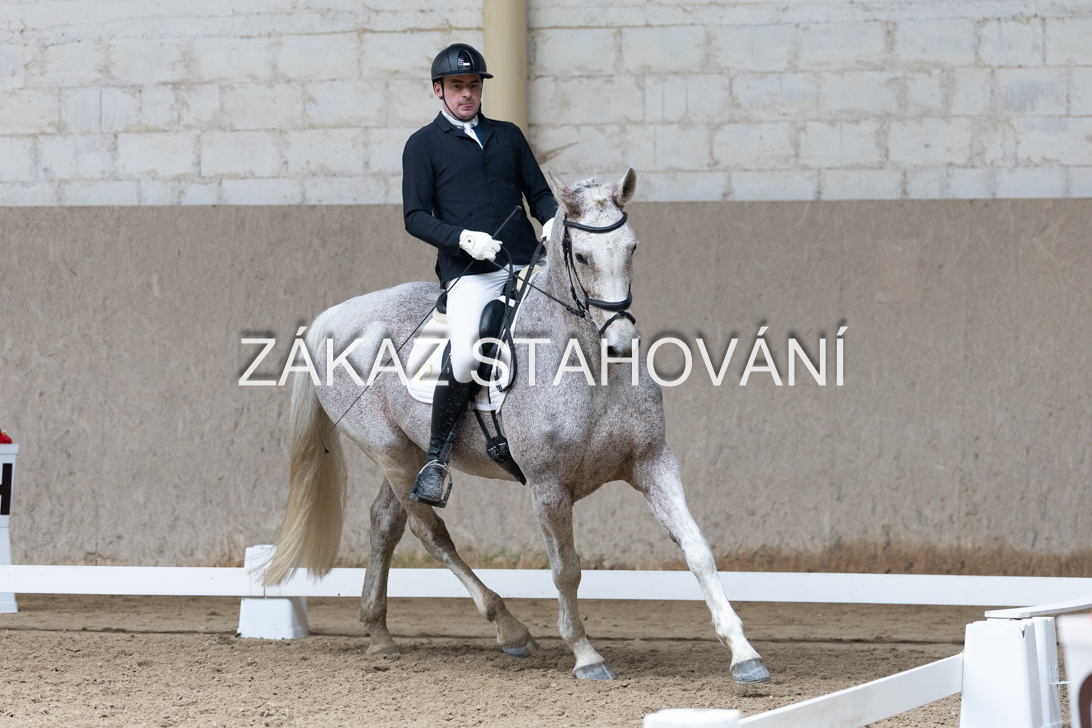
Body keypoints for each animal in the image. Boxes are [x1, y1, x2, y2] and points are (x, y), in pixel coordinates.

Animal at [264, 169, 770, 684]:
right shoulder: (548, 486)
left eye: (632, 247)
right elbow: (566, 569)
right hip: (387, 450)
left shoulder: (653, 463)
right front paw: (586, 655)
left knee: (386, 522)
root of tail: (335, 315)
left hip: (410, 452)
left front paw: (743, 653)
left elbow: (697, 549)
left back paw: (380, 633)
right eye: (581, 256)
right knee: (429, 532)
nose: (622, 344)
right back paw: (508, 628)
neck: (590, 367)